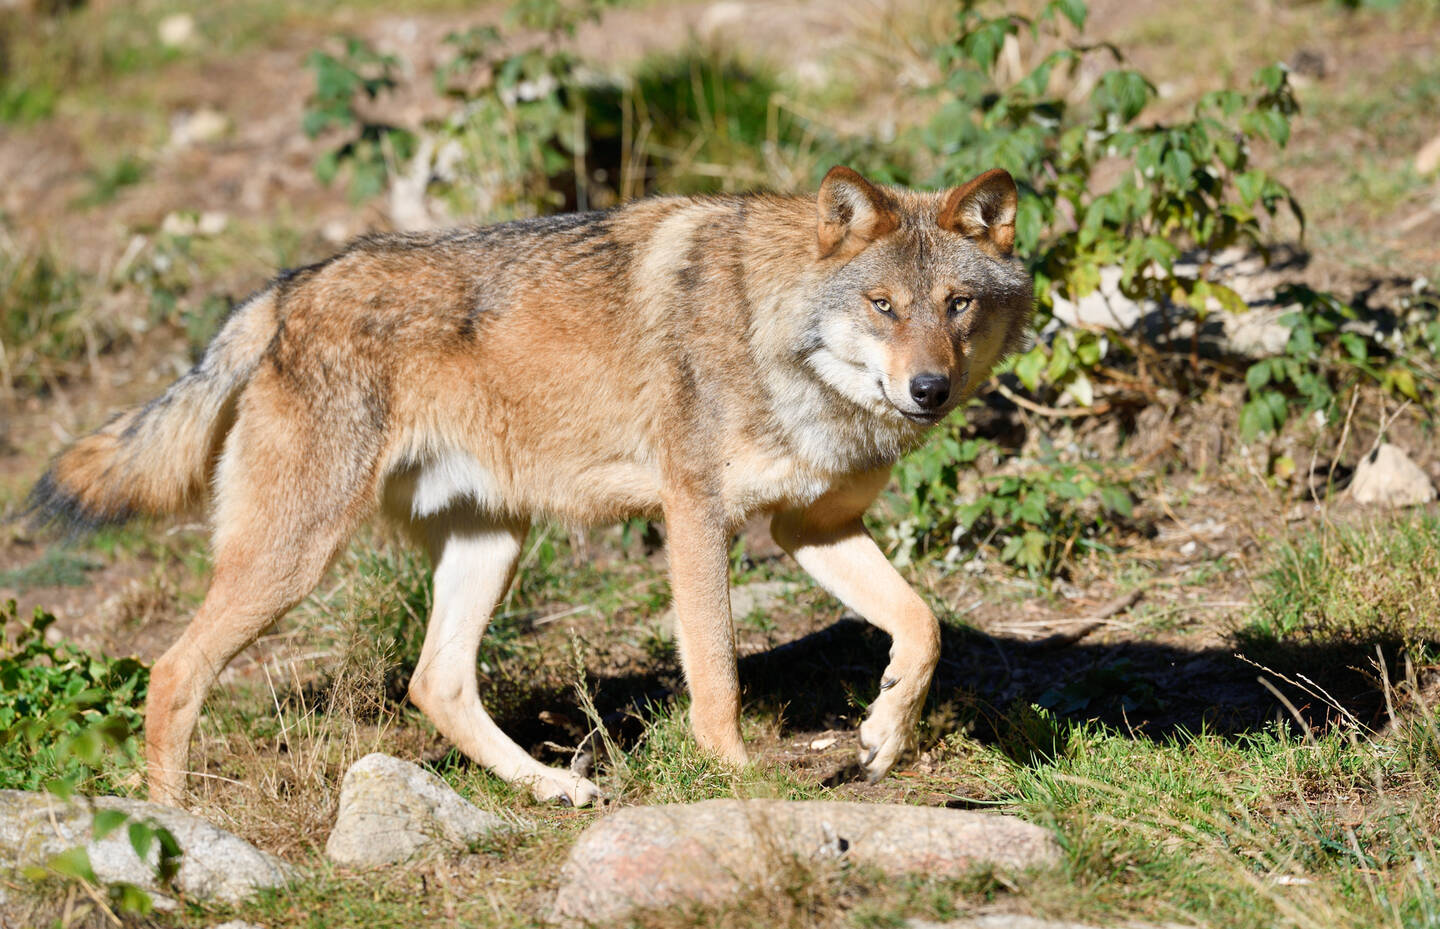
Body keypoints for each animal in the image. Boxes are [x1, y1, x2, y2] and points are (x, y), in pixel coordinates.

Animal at [27, 166, 1034, 807]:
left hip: (491, 544)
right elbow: (716, 674)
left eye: (957, 306)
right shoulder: (695, 516)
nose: (929, 389)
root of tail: (288, 288)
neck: (774, 332)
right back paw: (171, 832)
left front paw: (883, 732)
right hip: (295, 561)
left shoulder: (809, 530)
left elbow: (924, 624)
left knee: (434, 683)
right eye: (882, 307)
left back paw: (553, 786)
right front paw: (739, 780)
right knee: (171, 671)